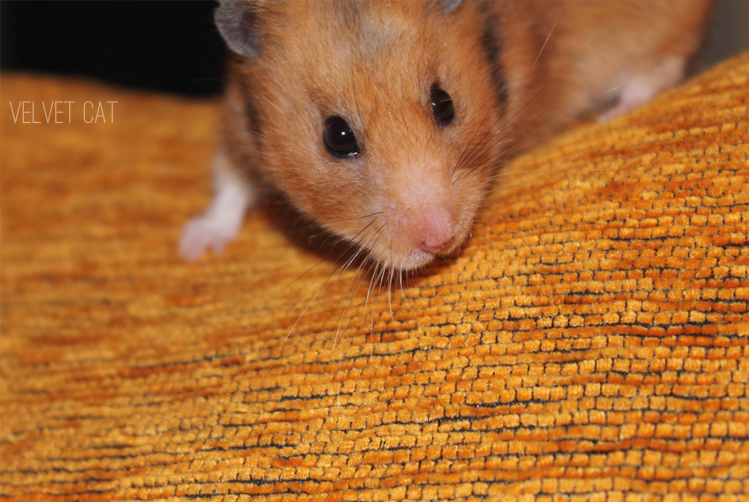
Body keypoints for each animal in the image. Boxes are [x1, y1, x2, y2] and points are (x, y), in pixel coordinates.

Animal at [180, 0, 712, 271]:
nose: (440, 241)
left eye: (445, 102)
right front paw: (193, 248)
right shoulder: (238, 122)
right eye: (336, 136)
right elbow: (229, 185)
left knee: (659, 68)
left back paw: (614, 113)